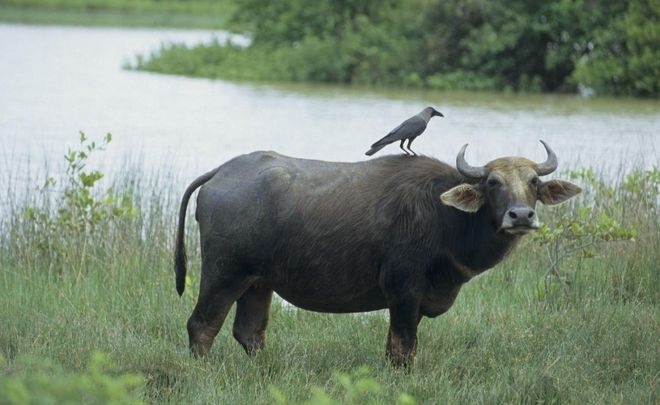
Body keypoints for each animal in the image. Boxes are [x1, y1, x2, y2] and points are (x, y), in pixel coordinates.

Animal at [175, 140, 584, 364]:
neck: (446, 216)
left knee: (249, 333)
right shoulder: (403, 291)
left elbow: (393, 348)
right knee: (201, 326)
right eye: (494, 182)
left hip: (259, 283)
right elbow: (404, 348)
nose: (521, 215)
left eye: (534, 181)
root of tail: (221, 173)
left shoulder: (410, 301)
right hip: (224, 273)